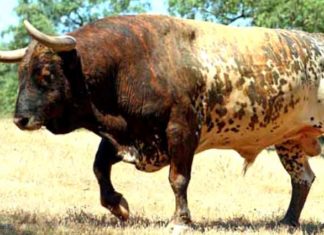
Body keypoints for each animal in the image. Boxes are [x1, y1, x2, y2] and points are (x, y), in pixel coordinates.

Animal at [0, 14, 324, 228]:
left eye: (45, 74)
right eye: (21, 73)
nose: (20, 119)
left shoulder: (182, 131)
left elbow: (178, 179)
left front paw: (180, 220)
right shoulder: (131, 136)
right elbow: (99, 167)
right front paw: (118, 205)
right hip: (289, 140)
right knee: (303, 179)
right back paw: (287, 222)